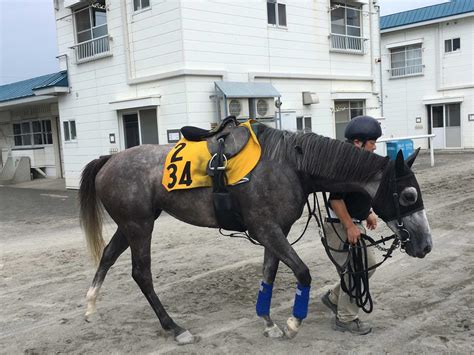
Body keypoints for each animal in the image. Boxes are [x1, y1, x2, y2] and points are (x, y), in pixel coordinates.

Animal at [79, 122, 432, 344]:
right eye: (408, 195)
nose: (426, 245)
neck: (289, 164)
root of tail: (109, 159)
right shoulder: (266, 229)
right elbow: (302, 272)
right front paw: (292, 323)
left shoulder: (275, 231)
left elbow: (269, 274)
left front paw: (268, 322)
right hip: (140, 226)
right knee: (141, 274)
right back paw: (175, 328)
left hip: (131, 225)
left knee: (108, 256)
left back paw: (91, 306)